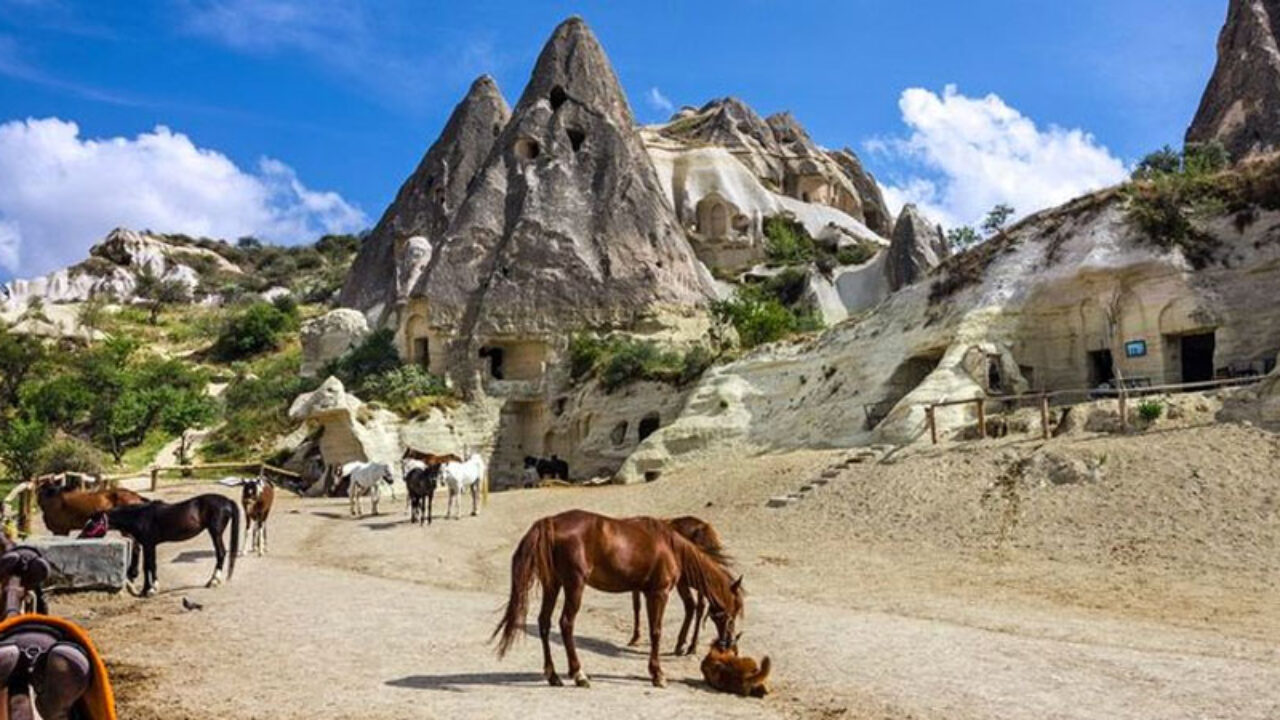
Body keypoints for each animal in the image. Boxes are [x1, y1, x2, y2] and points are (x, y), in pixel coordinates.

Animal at [627, 512, 727, 653]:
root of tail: (704, 530)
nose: (725, 643)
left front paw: (635, 637)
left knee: (692, 605)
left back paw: (682, 644)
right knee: (699, 605)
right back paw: (691, 645)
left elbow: (636, 606)